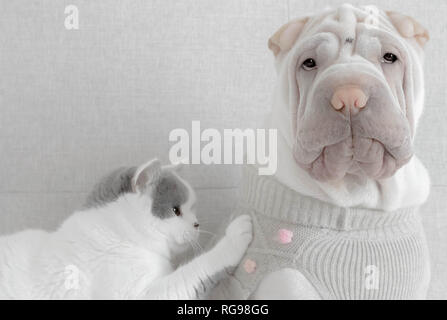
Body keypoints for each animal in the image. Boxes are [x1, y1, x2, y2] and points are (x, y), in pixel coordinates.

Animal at [0, 159, 252, 298]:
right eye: (176, 210)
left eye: (192, 209)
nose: (197, 223)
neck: (119, 237)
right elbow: (194, 271)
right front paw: (235, 236)